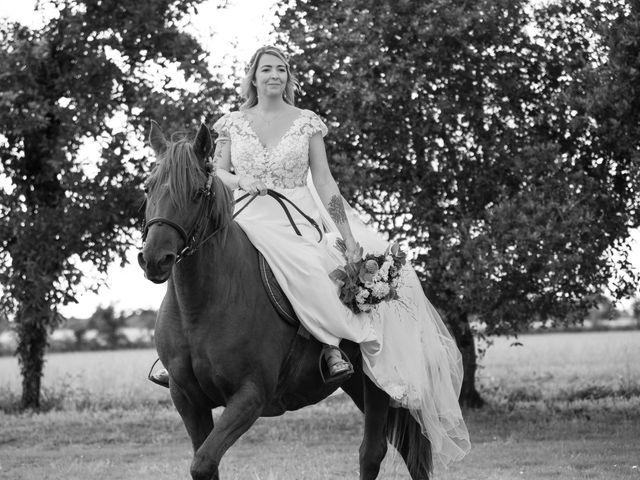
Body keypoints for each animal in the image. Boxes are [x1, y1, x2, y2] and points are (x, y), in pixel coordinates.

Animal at [137, 121, 432, 480]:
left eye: (196, 192)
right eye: (149, 188)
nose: (155, 259)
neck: (201, 307)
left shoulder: (250, 397)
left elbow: (203, 463)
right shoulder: (188, 400)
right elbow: (205, 463)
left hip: (379, 383)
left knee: (374, 453)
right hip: (357, 384)